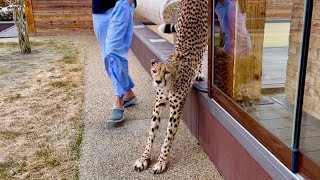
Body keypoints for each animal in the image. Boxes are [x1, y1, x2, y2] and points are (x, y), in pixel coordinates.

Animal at [132, 0, 208, 174]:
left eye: (166, 72)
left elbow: (167, 137)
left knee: (202, 54)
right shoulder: (158, 106)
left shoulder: (175, 110)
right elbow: (151, 133)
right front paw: (144, 158)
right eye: (154, 71)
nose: (157, 81)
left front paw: (161, 162)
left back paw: (199, 74)